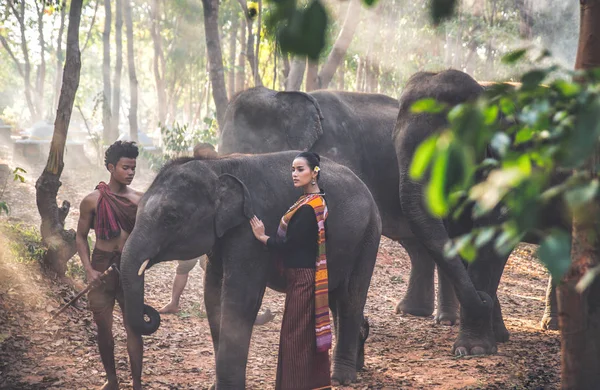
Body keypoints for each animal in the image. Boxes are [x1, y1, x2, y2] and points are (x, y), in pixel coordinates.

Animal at [120, 152, 382, 386]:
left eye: (171, 218)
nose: (149, 311)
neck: (216, 167)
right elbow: (212, 295)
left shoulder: (249, 230)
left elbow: (239, 299)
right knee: (335, 297)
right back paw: (356, 361)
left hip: (368, 237)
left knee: (350, 297)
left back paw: (341, 378)